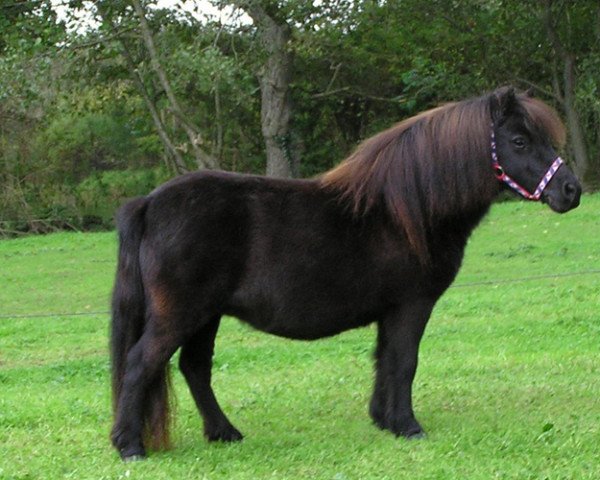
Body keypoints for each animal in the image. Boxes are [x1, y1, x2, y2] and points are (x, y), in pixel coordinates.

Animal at [109, 88, 580, 460]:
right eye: (519, 140)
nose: (571, 190)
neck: (405, 211)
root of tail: (149, 202)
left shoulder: (391, 310)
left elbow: (385, 359)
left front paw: (384, 420)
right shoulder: (412, 305)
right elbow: (405, 361)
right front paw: (409, 426)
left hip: (206, 315)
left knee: (194, 367)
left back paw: (224, 433)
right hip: (181, 314)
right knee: (141, 363)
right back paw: (130, 446)